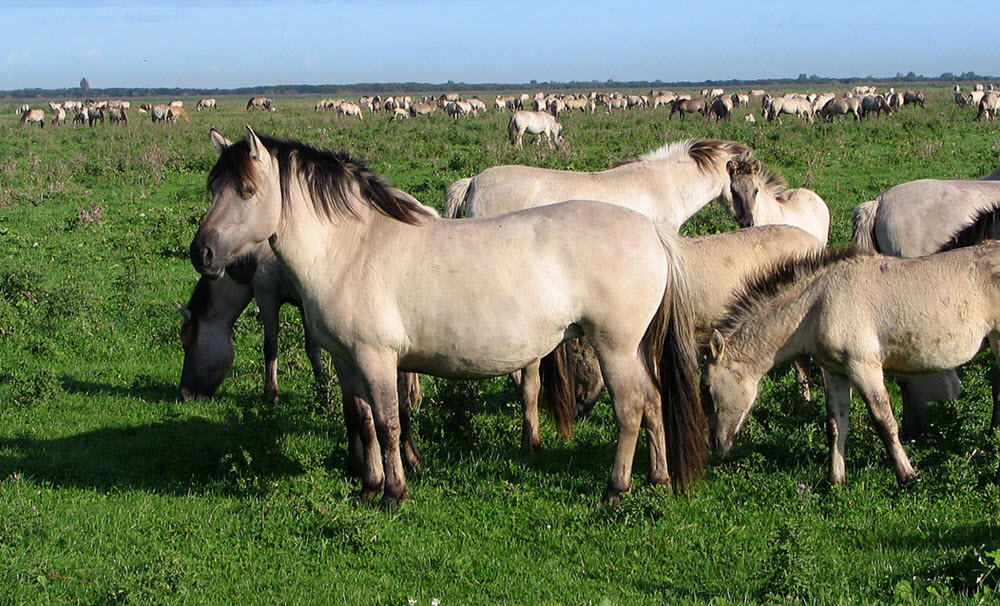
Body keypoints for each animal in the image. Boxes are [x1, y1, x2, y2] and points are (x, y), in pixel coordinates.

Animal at [191, 128, 708, 508]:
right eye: (213, 187)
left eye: (248, 190)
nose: (203, 253)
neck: (351, 249)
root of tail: (652, 230)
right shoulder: (346, 361)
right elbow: (361, 420)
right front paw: (369, 485)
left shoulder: (377, 359)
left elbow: (388, 423)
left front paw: (394, 493)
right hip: (633, 348)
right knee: (654, 401)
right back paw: (659, 478)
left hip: (613, 346)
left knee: (631, 408)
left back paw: (615, 488)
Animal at [700, 245, 1000, 486]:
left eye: (707, 389)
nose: (716, 444)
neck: (818, 304)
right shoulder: (835, 372)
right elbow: (835, 424)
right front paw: (835, 480)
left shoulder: (864, 368)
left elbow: (884, 422)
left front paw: (907, 476)